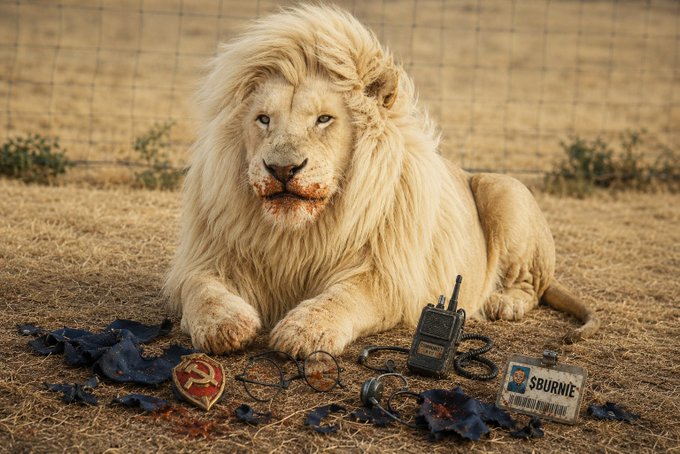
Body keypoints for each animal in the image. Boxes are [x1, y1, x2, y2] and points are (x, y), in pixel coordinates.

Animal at [164, 4, 599, 357]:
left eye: (324, 119)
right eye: (263, 119)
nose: (282, 169)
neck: (301, 235)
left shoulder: (389, 277)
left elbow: (342, 297)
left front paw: (304, 331)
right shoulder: (211, 257)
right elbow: (201, 289)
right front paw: (224, 325)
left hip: (503, 188)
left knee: (532, 284)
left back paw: (503, 302)